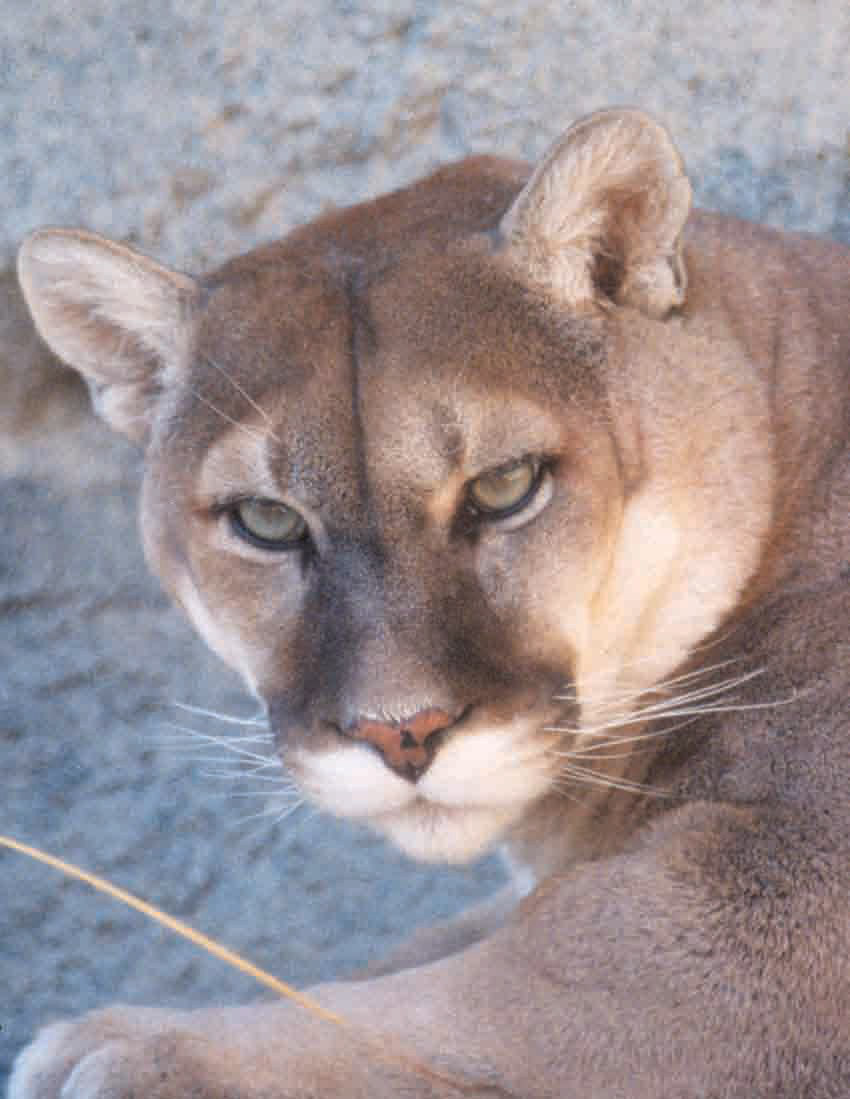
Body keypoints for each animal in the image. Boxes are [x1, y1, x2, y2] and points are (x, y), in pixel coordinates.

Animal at [8, 111, 848, 1099]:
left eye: (505, 484)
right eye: (267, 520)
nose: (401, 730)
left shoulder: (773, 894)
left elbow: (477, 999)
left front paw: (130, 1047)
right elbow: (420, 952)